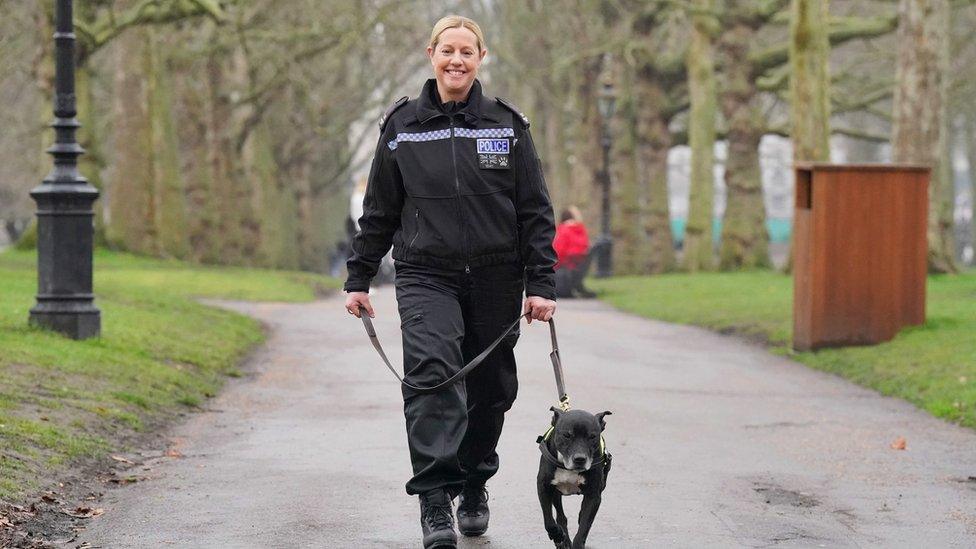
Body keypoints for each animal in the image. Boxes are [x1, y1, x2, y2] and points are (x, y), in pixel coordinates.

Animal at [532, 404, 608, 544]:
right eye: (567, 435)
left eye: (592, 436)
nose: (580, 459)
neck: (568, 468)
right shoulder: (544, 487)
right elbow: (548, 519)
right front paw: (557, 534)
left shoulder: (593, 496)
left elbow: (584, 526)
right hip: (556, 493)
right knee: (561, 516)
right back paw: (562, 539)